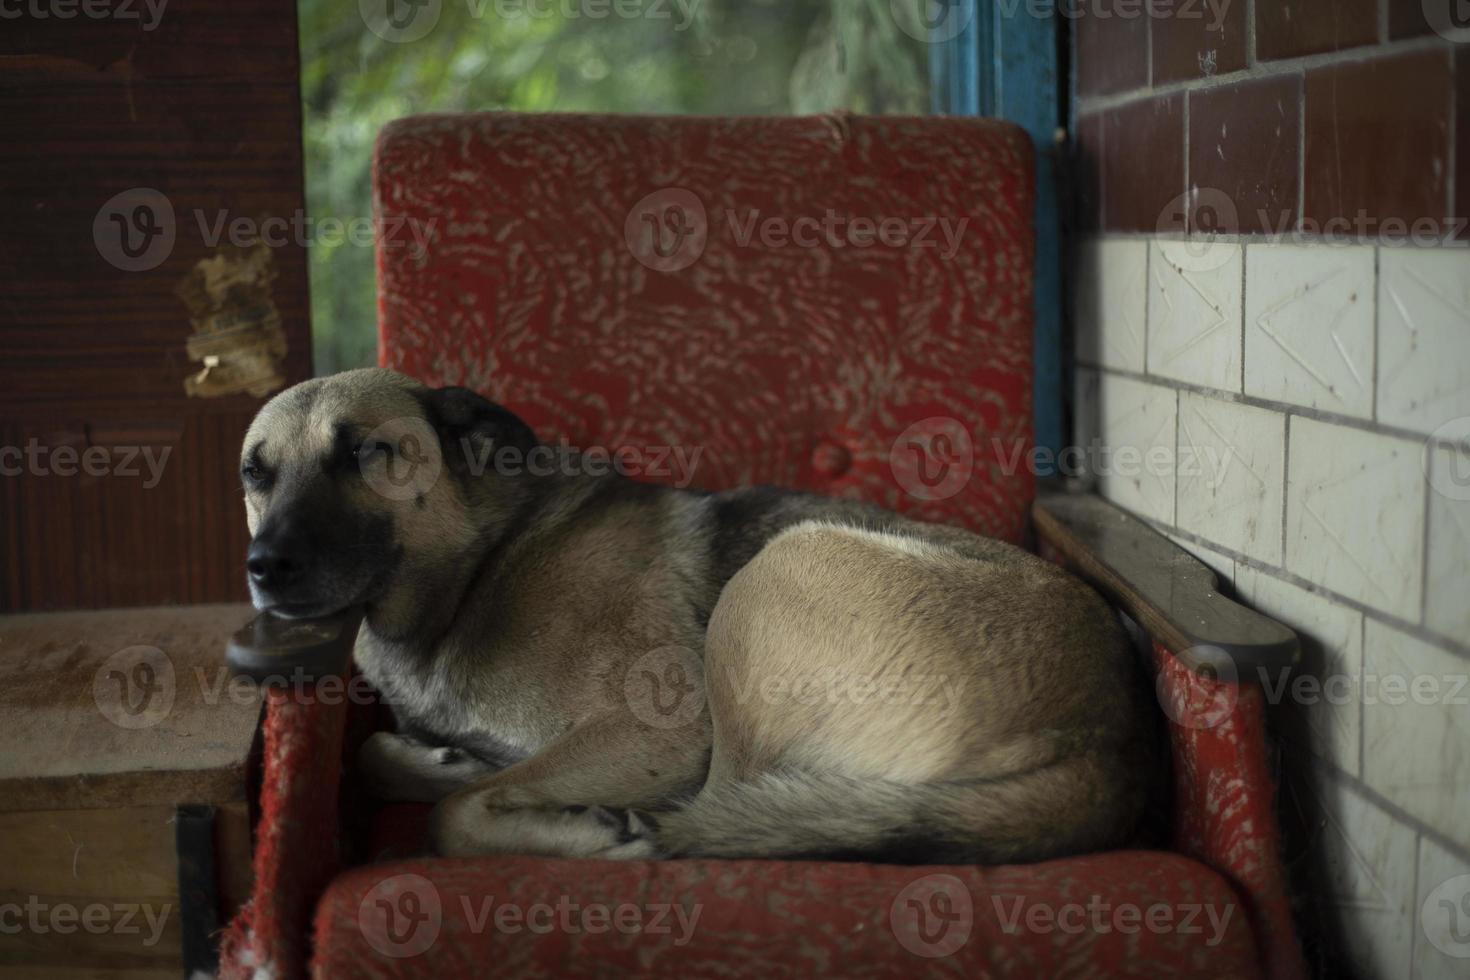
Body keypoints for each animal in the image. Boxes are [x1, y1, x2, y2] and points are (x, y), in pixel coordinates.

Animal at [241, 371, 1152, 863]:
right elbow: (385, 761)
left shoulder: (658, 733)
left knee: (719, 810)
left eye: (367, 453)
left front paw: (574, 830)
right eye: (255, 473)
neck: (477, 569)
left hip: (771, 577)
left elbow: (457, 814)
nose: (263, 567)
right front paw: (435, 758)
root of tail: (1107, 744)